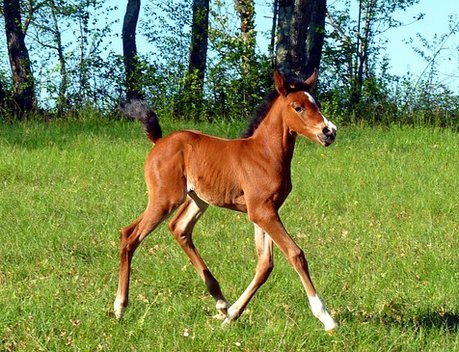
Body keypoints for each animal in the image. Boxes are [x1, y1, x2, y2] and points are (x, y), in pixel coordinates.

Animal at [114, 69, 338, 332]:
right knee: (130, 235)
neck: (266, 153)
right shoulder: (262, 212)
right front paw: (326, 317)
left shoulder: (265, 212)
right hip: (164, 199)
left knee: (179, 228)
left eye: (317, 104)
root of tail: (158, 141)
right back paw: (119, 307)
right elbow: (296, 254)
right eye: (298, 107)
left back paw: (221, 302)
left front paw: (232, 316)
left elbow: (265, 265)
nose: (329, 131)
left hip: (198, 200)